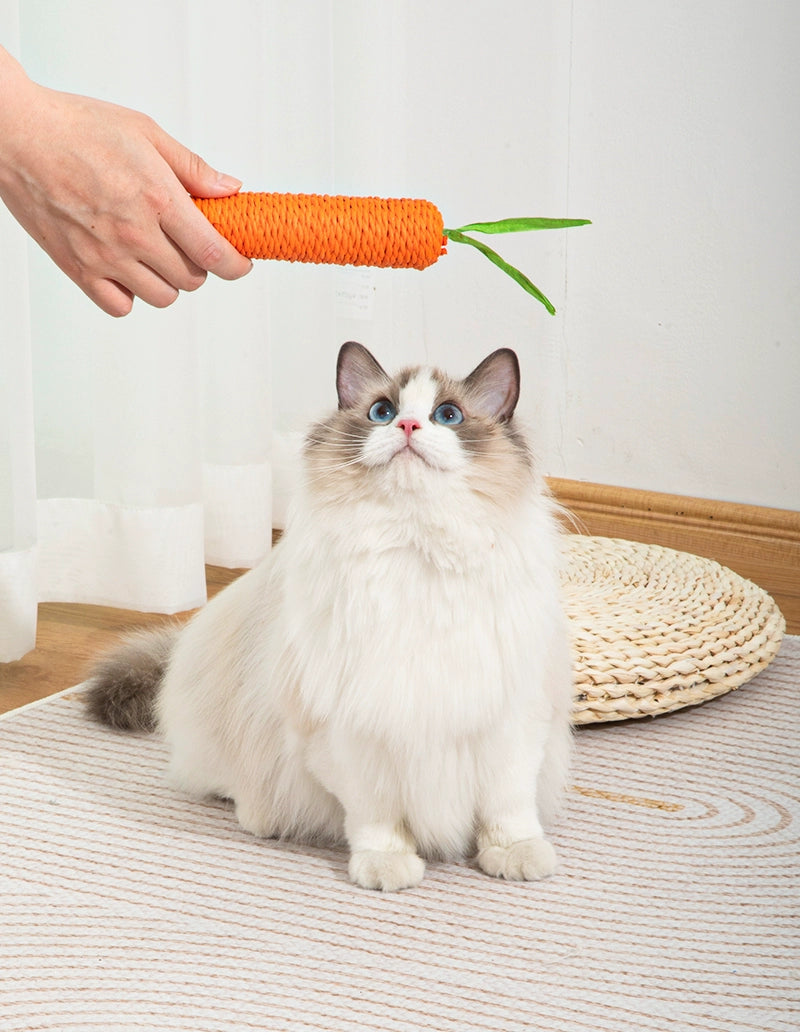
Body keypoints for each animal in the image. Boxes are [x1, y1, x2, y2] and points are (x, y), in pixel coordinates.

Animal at [85, 339, 575, 890]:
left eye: (447, 416)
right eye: (382, 412)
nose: (408, 426)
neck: (414, 553)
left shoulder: (512, 721)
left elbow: (508, 808)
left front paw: (516, 857)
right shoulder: (351, 731)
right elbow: (377, 818)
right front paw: (387, 869)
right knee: (227, 786)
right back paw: (261, 818)